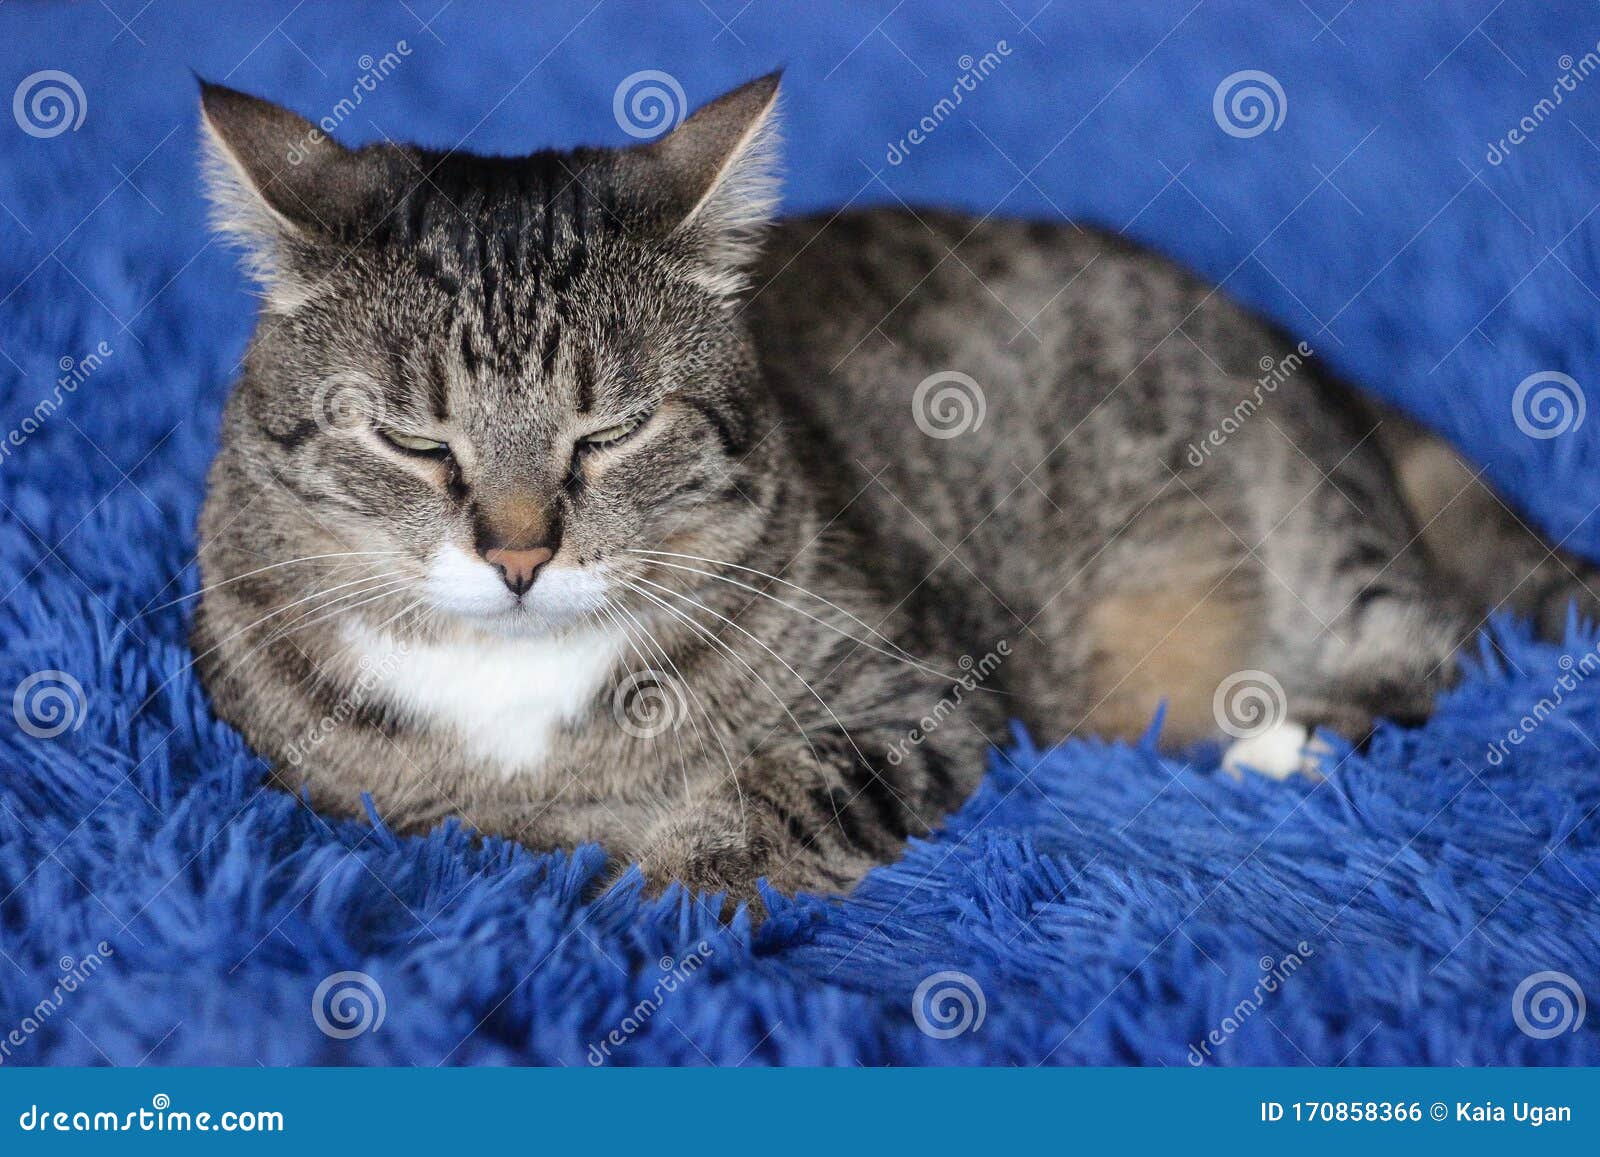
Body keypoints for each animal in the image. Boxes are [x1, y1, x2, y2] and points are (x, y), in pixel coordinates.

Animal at [190, 74, 1600, 921]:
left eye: (614, 430)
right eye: (411, 440)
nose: (520, 554)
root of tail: (1310, 358)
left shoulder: (917, 693)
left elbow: (774, 800)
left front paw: (650, 883)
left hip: (1296, 515)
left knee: (1421, 641)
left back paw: (1285, 729)